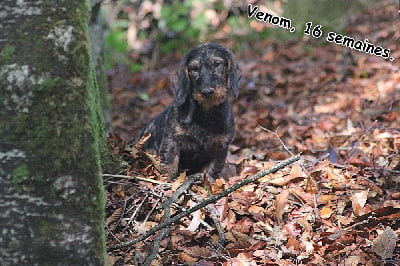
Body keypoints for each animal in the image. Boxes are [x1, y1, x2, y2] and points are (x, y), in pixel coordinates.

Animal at [141, 42, 241, 183]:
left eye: (217, 64)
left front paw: (210, 184)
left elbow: (213, 169)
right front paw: (167, 181)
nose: (207, 91)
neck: (205, 113)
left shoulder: (221, 146)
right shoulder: (172, 139)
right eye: (194, 68)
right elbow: (170, 162)